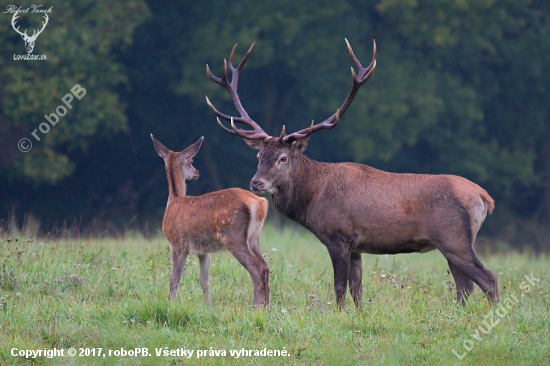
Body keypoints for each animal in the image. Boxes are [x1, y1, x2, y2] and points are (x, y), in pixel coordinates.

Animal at [151, 134, 272, 306]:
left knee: (256, 269)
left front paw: (170, 304)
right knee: (265, 267)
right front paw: (209, 307)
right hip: (254, 238)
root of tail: (259, 203)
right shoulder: (204, 250)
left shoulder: (177, 243)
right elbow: (204, 281)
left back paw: (256, 306)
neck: (173, 200)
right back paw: (267, 306)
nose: (196, 172)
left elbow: (174, 280)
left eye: (191, 160)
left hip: (233, 235)